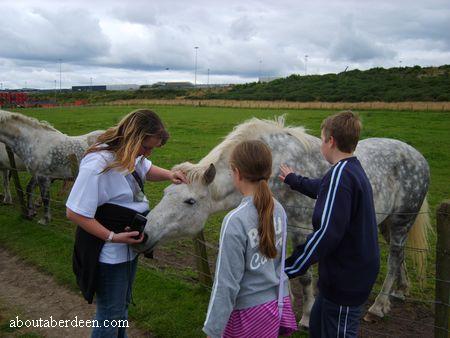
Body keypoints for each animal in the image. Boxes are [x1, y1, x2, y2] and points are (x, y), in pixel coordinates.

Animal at [134, 117, 432, 328]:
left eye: (190, 201)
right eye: (166, 193)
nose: (144, 234)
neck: (272, 165)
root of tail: (417, 155)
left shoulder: (303, 230)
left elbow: (306, 277)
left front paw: (306, 317)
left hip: (401, 223)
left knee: (393, 260)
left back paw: (379, 306)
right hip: (387, 224)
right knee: (401, 257)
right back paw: (400, 292)